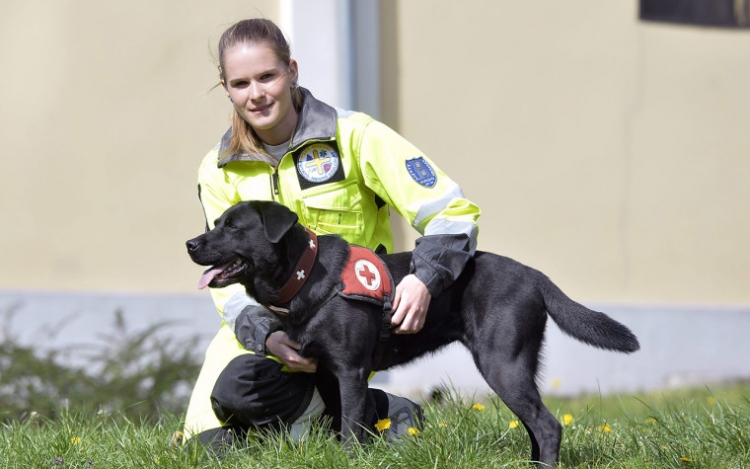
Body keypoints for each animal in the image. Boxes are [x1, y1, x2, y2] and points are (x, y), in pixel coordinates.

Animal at [188, 199, 640, 466]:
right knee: (536, 424)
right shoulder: (326, 374)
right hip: (513, 368)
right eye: (216, 223)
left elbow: (351, 428)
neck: (305, 276)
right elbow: (345, 423)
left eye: (233, 227)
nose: (191, 243)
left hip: (502, 363)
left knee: (548, 425)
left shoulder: (350, 371)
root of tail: (535, 275)